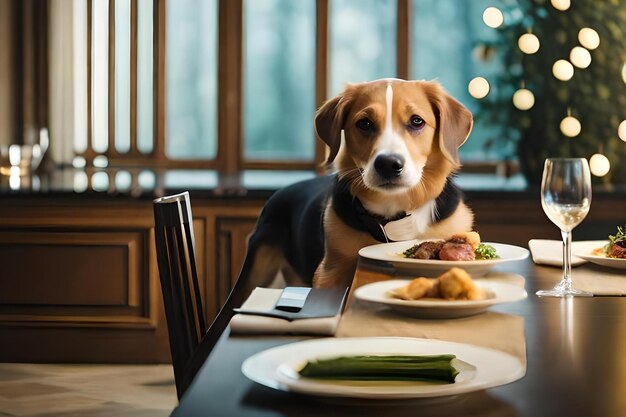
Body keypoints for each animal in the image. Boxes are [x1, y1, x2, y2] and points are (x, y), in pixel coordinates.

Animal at [238, 79, 472, 290]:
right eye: (364, 123)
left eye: (417, 121)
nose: (388, 164)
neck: (393, 211)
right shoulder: (329, 271)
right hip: (255, 271)